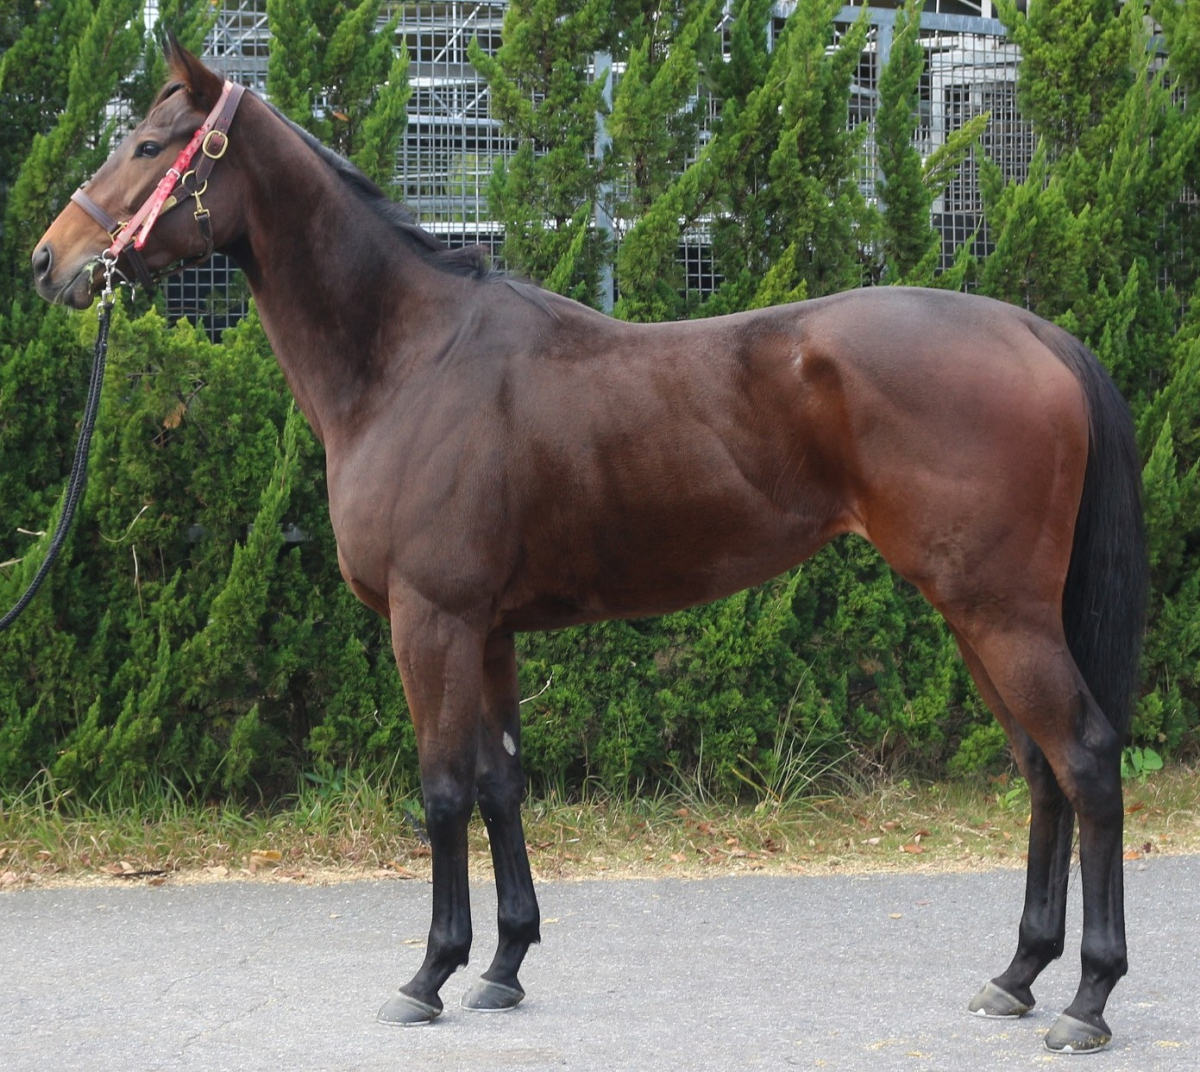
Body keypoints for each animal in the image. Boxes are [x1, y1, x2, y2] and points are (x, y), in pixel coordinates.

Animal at [31, 39, 1146, 1054]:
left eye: (149, 144)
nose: (50, 260)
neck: (411, 358)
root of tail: (1034, 334)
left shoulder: (431, 621)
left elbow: (442, 790)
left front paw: (429, 975)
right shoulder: (489, 631)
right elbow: (500, 782)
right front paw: (503, 966)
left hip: (998, 612)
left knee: (1086, 761)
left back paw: (1089, 1000)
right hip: (977, 614)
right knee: (1041, 769)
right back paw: (1017, 974)